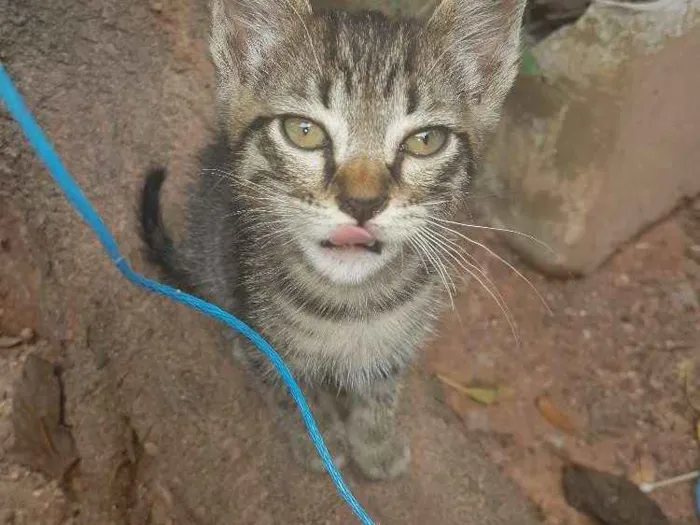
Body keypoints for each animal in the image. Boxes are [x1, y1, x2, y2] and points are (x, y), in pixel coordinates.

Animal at [141, 0, 524, 476]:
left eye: (425, 141)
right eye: (303, 131)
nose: (362, 202)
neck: (349, 307)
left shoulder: (398, 342)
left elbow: (381, 389)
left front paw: (375, 444)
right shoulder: (266, 338)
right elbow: (290, 391)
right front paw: (319, 440)